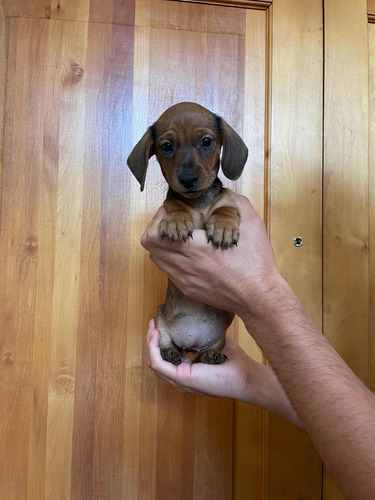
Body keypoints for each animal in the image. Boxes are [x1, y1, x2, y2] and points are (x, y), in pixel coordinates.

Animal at [128, 102, 248, 368]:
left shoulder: (228, 203)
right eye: (166, 146)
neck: (199, 203)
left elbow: (224, 208)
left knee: (207, 350)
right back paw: (171, 352)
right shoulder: (170, 203)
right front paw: (176, 221)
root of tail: (191, 343)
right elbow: (176, 206)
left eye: (206, 141)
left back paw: (209, 354)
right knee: (169, 344)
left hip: (221, 331)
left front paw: (223, 226)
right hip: (160, 319)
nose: (189, 179)